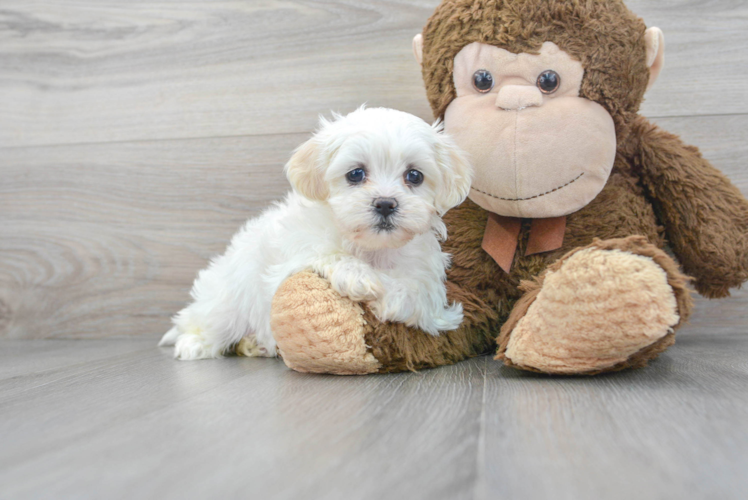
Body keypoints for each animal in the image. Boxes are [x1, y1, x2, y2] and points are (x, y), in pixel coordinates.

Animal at [160, 108, 470, 360]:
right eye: (355, 174)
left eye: (414, 176)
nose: (385, 203)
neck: (372, 249)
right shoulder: (293, 253)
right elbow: (329, 253)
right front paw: (360, 277)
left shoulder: (427, 275)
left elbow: (416, 293)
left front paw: (390, 296)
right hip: (226, 302)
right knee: (206, 324)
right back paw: (194, 344)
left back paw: (252, 345)